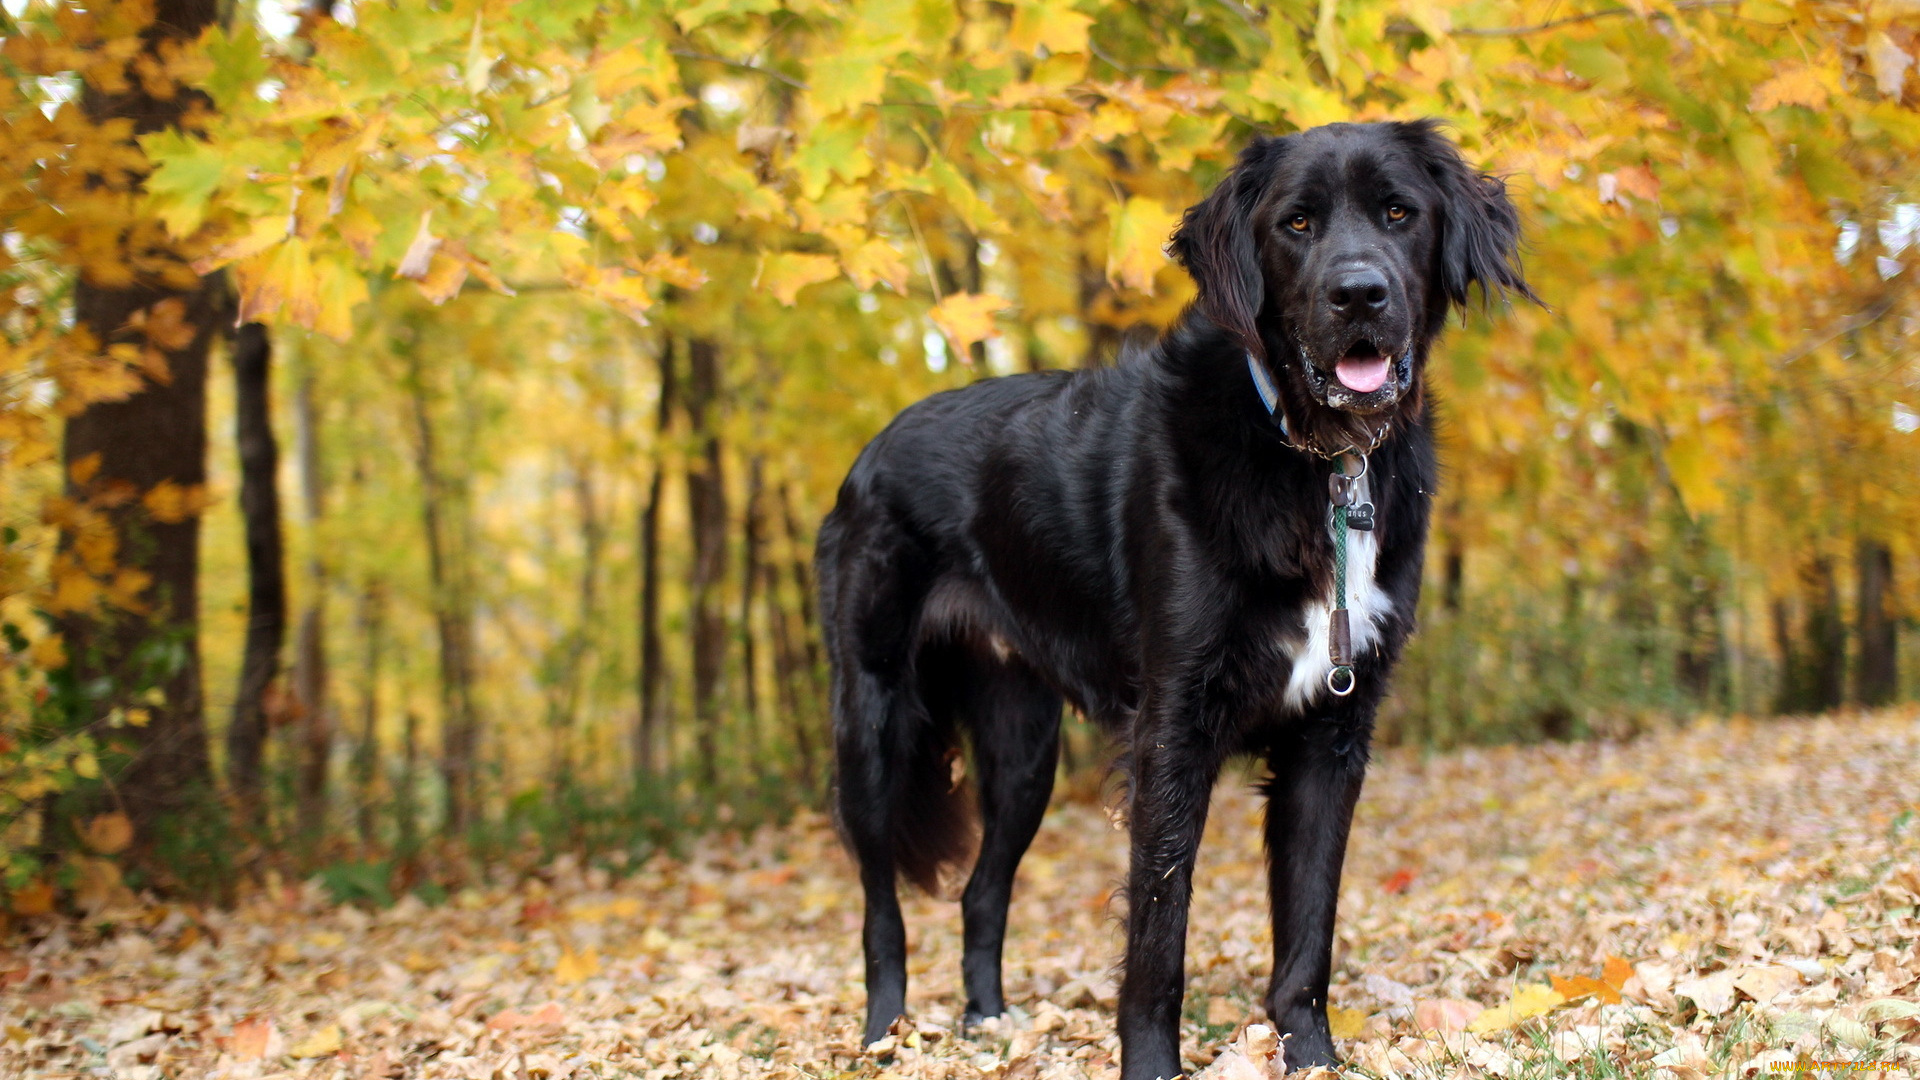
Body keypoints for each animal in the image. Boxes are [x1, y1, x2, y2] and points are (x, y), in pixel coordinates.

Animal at [814, 119, 1528, 1076]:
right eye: (1297, 224)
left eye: (1398, 213)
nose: (1359, 294)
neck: (1316, 456)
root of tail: (869, 453)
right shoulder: (1173, 726)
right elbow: (1159, 923)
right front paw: (1152, 1062)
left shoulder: (1334, 732)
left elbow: (1310, 924)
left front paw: (1310, 1054)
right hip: (872, 723)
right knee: (879, 903)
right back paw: (886, 1032)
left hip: (1024, 750)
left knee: (980, 892)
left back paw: (989, 1025)